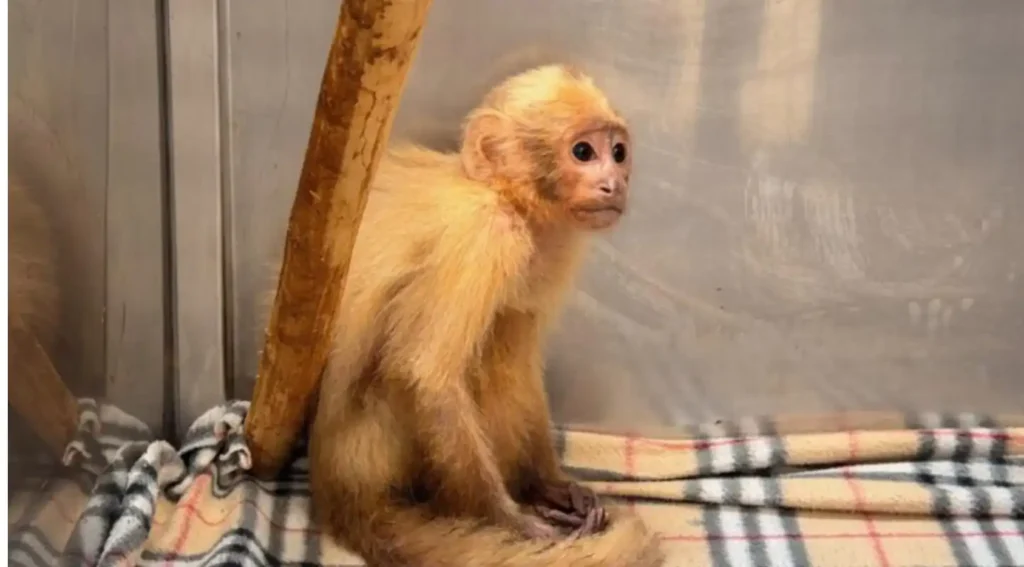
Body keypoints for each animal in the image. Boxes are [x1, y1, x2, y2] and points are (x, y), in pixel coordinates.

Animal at [308, 64, 664, 567]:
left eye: (618, 152)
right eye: (583, 152)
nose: (614, 183)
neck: (503, 197)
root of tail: (336, 486)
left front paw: (549, 484)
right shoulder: (485, 234)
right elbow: (426, 376)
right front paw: (511, 521)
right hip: (379, 443)